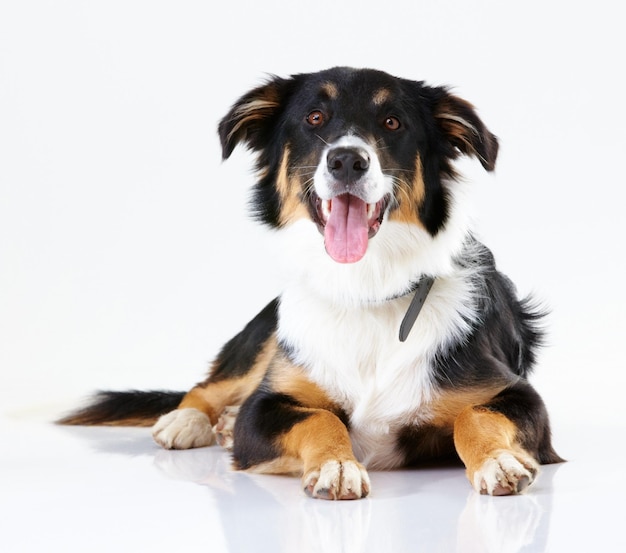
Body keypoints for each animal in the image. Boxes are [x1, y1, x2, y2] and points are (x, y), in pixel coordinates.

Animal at [61, 66, 564, 500]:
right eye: (314, 118)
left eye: (393, 121)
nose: (347, 160)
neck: (366, 287)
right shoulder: (262, 410)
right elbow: (319, 419)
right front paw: (336, 465)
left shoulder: (515, 393)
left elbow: (475, 415)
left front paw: (498, 460)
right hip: (266, 333)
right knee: (209, 385)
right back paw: (187, 420)